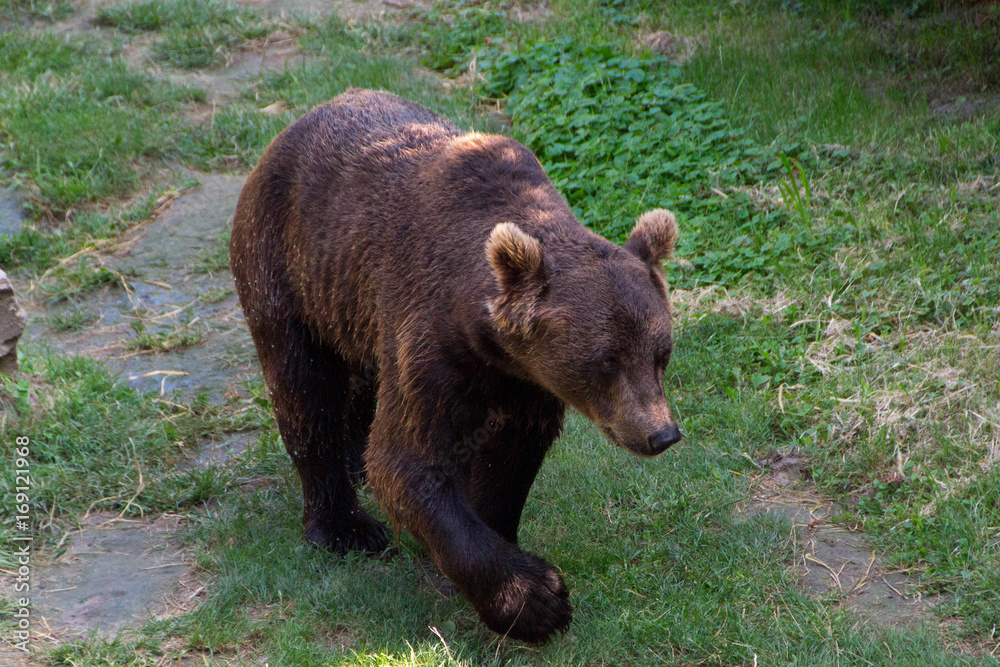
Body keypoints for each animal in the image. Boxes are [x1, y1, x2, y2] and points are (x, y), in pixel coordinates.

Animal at [230, 88, 682, 643]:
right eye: (605, 361)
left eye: (661, 353)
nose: (660, 433)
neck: (487, 340)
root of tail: (295, 125)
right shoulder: (428, 334)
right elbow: (408, 459)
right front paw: (537, 598)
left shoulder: (524, 380)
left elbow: (507, 459)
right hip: (287, 272)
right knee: (305, 393)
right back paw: (344, 526)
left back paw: (354, 461)